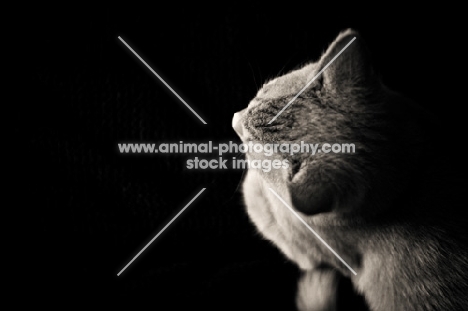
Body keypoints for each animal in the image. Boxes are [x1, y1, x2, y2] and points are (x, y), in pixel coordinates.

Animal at [233, 28, 468, 310]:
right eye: (262, 92)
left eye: (249, 145)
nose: (234, 119)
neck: (407, 190)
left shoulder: (305, 249)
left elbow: (256, 201)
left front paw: (256, 185)